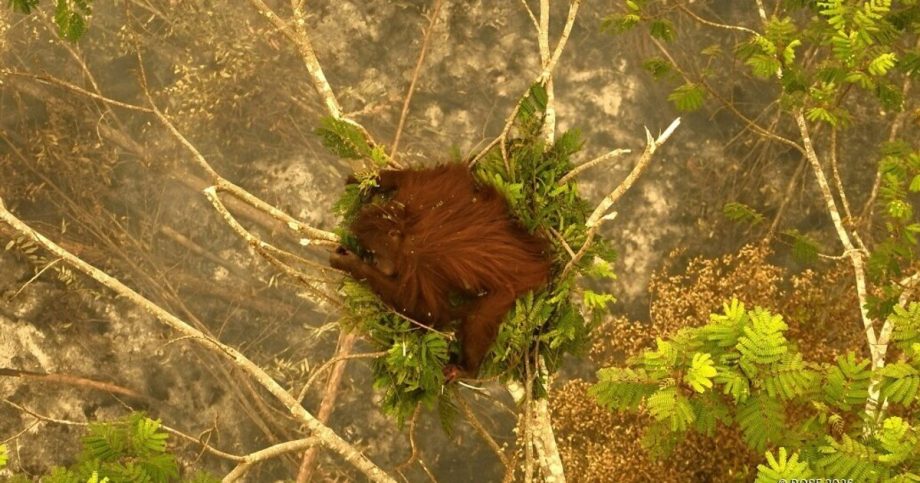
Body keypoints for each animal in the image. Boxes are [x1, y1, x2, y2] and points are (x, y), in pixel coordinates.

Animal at [330, 163, 552, 382]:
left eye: (374, 253)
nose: (374, 262)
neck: (406, 227)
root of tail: (537, 263)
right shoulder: (421, 194)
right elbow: (437, 176)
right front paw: (372, 182)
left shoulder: (418, 260)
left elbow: (426, 310)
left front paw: (349, 263)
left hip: (509, 288)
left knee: (479, 318)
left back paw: (469, 369)